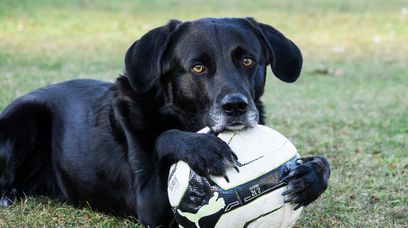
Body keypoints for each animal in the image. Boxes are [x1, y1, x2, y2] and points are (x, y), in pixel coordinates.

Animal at [0, 17, 328, 226]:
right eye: (198, 67)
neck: (180, 116)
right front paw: (204, 149)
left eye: (247, 60)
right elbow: (163, 137)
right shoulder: (151, 207)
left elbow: (322, 162)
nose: (236, 106)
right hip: (26, 118)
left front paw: (310, 176)